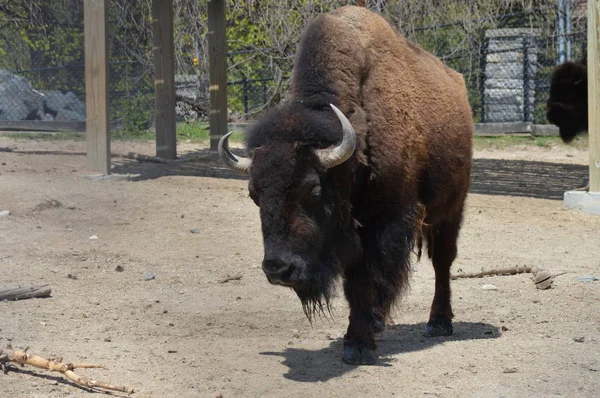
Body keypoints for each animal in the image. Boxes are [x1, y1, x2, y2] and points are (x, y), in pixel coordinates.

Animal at [219, 6, 474, 366]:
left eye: (312, 189)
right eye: (254, 194)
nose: (278, 268)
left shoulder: (386, 220)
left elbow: (368, 278)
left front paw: (360, 342)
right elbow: (355, 282)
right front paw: (359, 336)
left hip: (451, 207)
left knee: (443, 261)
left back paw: (438, 322)